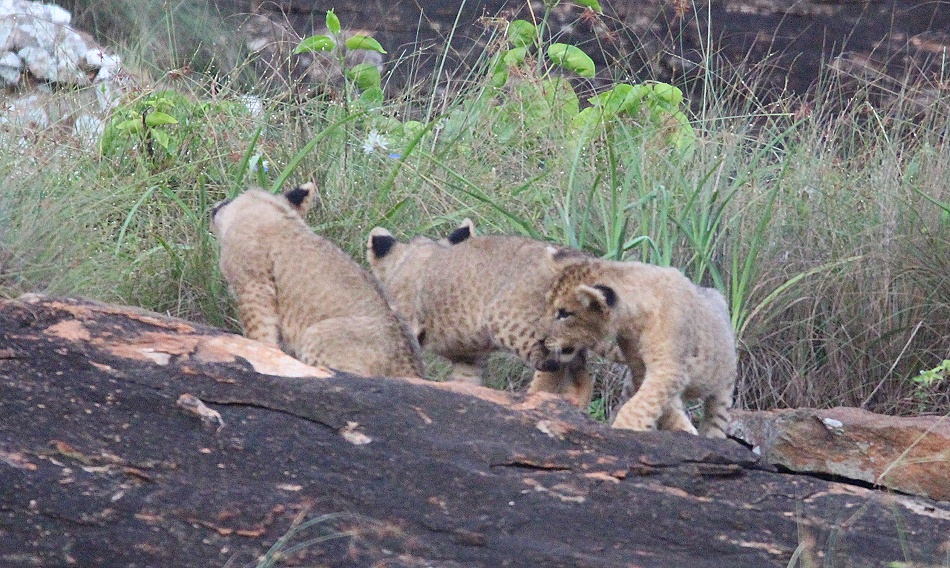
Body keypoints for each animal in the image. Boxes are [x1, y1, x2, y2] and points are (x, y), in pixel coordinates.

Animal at [210, 184, 424, 379]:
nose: (218, 205)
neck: (274, 211)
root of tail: (412, 368)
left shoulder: (253, 285)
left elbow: (260, 330)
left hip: (316, 336)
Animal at [537, 253, 737, 437]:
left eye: (564, 313)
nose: (539, 337)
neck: (636, 320)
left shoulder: (669, 367)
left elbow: (641, 406)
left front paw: (624, 429)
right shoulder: (640, 366)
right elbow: (664, 409)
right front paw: (683, 429)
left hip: (724, 386)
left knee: (716, 419)